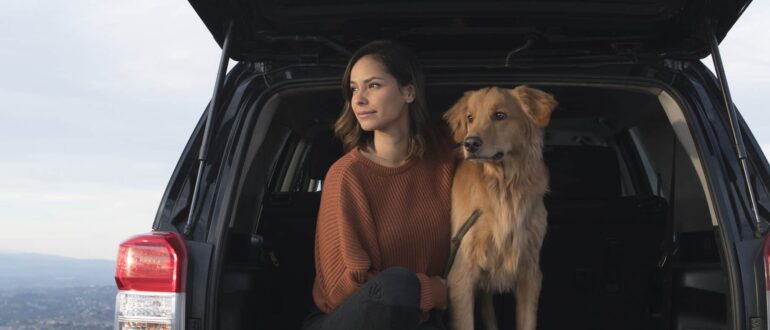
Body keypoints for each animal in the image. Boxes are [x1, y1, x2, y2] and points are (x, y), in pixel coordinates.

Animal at [440, 85, 556, 330]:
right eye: (470, 118)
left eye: (500, 115)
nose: (470, 143)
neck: (503, 185)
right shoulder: (461, 273)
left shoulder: (529, 272)